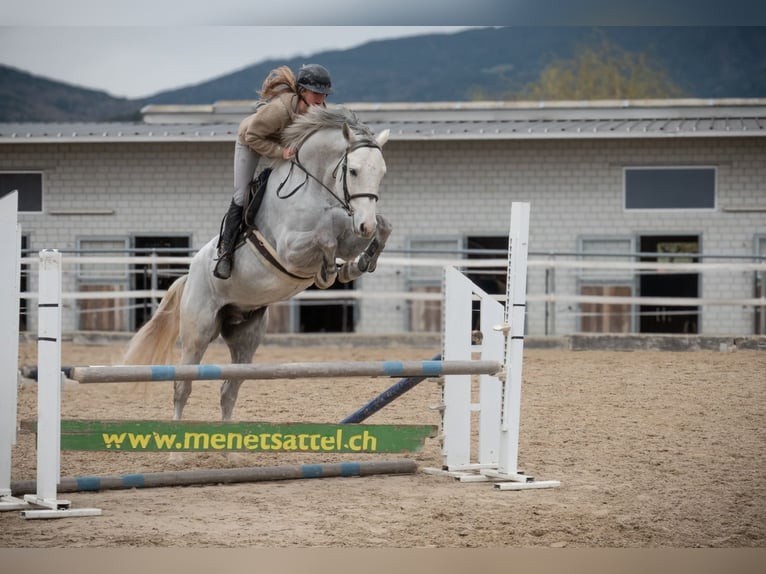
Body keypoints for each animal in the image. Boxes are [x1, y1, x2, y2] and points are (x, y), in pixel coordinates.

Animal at [123, 106, 392, 426]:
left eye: (382, 173)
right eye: (353, 171)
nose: (365, 225)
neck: (315, 190)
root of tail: (188, 276)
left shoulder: (350, 232)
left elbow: (381, 228)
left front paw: (359, 262)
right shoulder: (290, 249)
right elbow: (324, 237)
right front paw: (328, 272)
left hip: (246, 336)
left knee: (228, 390)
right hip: (197, 332)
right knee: (182, 386)